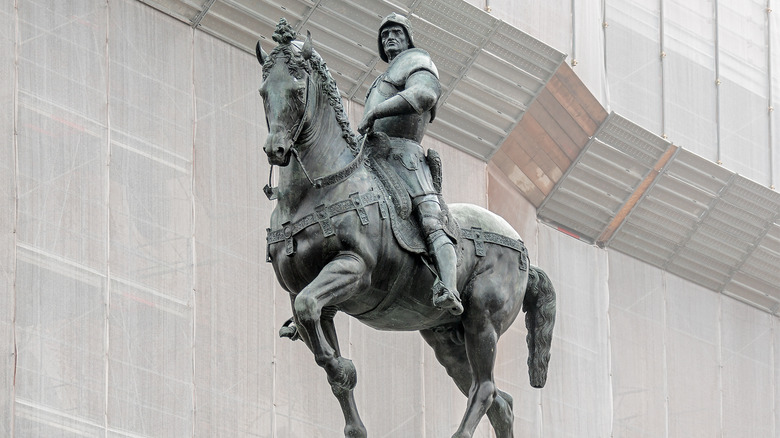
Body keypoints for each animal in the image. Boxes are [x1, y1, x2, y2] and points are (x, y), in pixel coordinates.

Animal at [256, 20, 556, 438]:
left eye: (299, 88)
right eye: (264, 91)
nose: (277, 150)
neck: (317, 189)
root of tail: (523, 251)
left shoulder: (352, 269)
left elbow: (315, 324)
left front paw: (340, 365)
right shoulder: (306, 293)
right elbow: (314, 329)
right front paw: (346, 394)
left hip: (482, 323)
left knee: (485, 389)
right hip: (447, 339)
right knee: (502, 403)